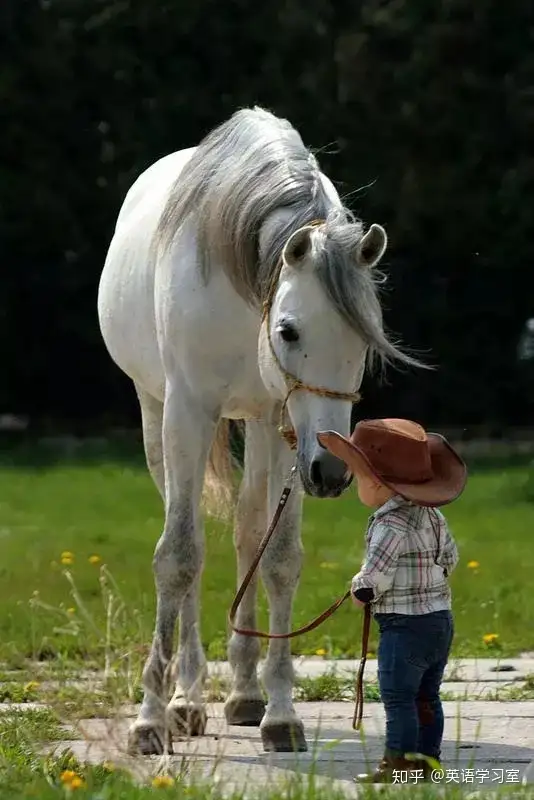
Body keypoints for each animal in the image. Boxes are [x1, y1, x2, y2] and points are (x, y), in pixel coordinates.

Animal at [98, 103, 416, 752]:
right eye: (289, 330)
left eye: (365, 339)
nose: (334, 471)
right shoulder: (186, 411)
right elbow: (179, 555)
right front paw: (150, 719)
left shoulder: (285, 422)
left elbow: (279, 558)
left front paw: (281, 713)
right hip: (157, 414)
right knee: (189, 535)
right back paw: (186, 700)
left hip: (265, 430)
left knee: (249, 531)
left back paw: (243, 693)